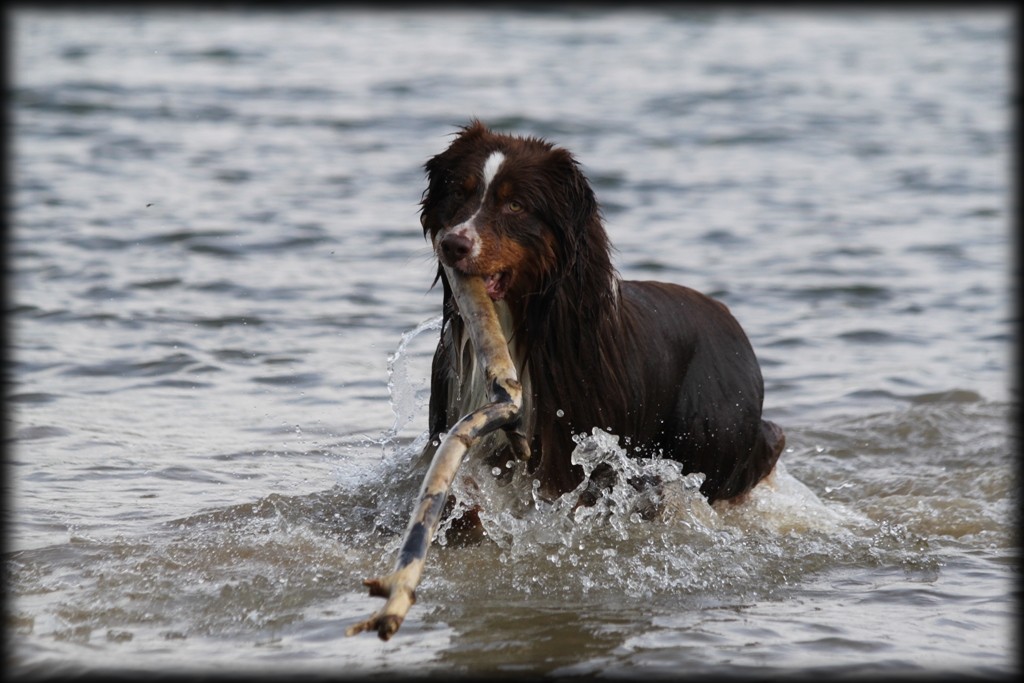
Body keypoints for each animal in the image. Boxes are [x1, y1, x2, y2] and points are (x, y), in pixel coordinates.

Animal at [417, 120, 785, 525]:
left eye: (515, 205)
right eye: (458, 192)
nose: (454, 245)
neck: (521, 326)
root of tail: (734, 325)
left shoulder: (577, 452)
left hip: (707, 437)